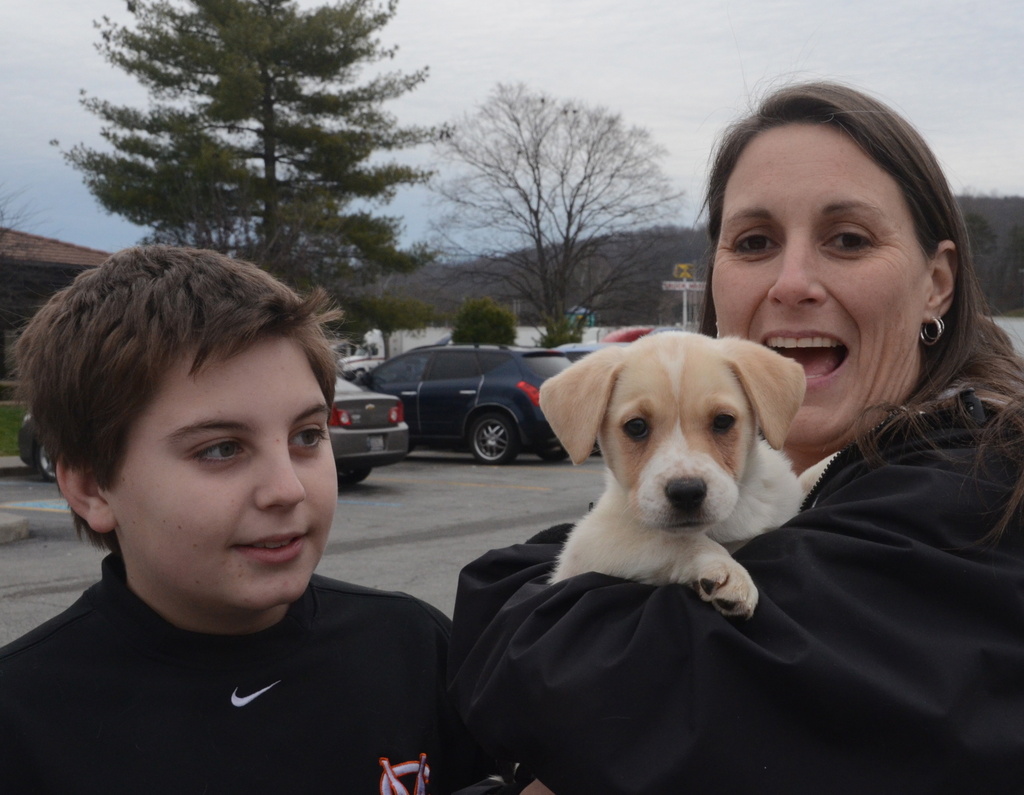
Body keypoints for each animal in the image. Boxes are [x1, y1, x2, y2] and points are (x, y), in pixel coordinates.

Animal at [544, 331, 806, 618]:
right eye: (636, 426)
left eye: (723, 421)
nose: (687, 492)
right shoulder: (588, 545)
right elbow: (673, 540)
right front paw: (725, 569)